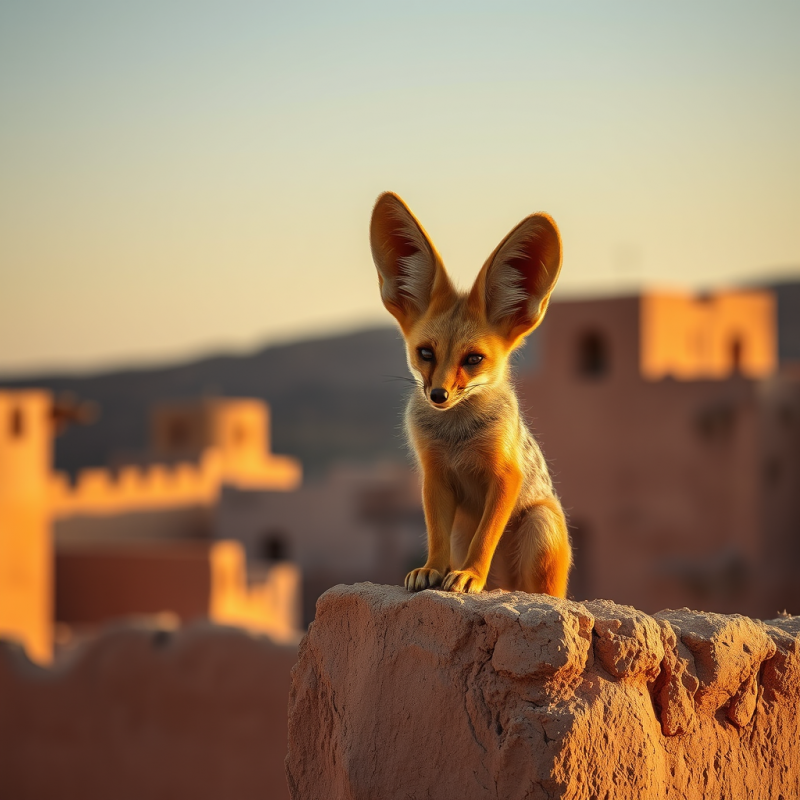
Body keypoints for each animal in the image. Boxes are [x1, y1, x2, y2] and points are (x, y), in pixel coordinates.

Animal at [369, 192, 571, 597]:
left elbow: (486, 539)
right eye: (425, 353)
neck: (457, 440)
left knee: (541, 591)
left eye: (473, 359)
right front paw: (432, 570)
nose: (439, 395)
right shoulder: (434, 473)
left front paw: (471, 576)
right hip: (466, 527)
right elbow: (435, 538)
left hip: (539, 524)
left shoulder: (506, 475)